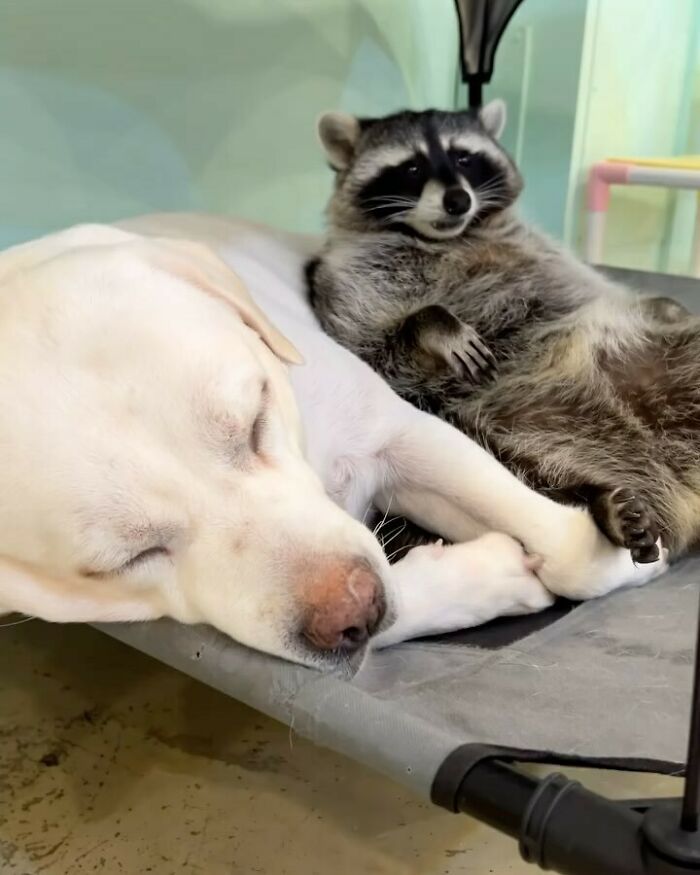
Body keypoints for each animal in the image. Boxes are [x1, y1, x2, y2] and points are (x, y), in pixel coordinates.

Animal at [307, 100, 700, 564]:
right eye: (412, 166)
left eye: (463, 157)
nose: (458, 200)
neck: (446, 237)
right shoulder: (348, 281)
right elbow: (373, 349)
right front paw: (432, 324)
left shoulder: (548, 256)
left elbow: (616, 295)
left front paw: (667, 304)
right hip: (505, 431)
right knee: (522, 470)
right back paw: (597, 499)